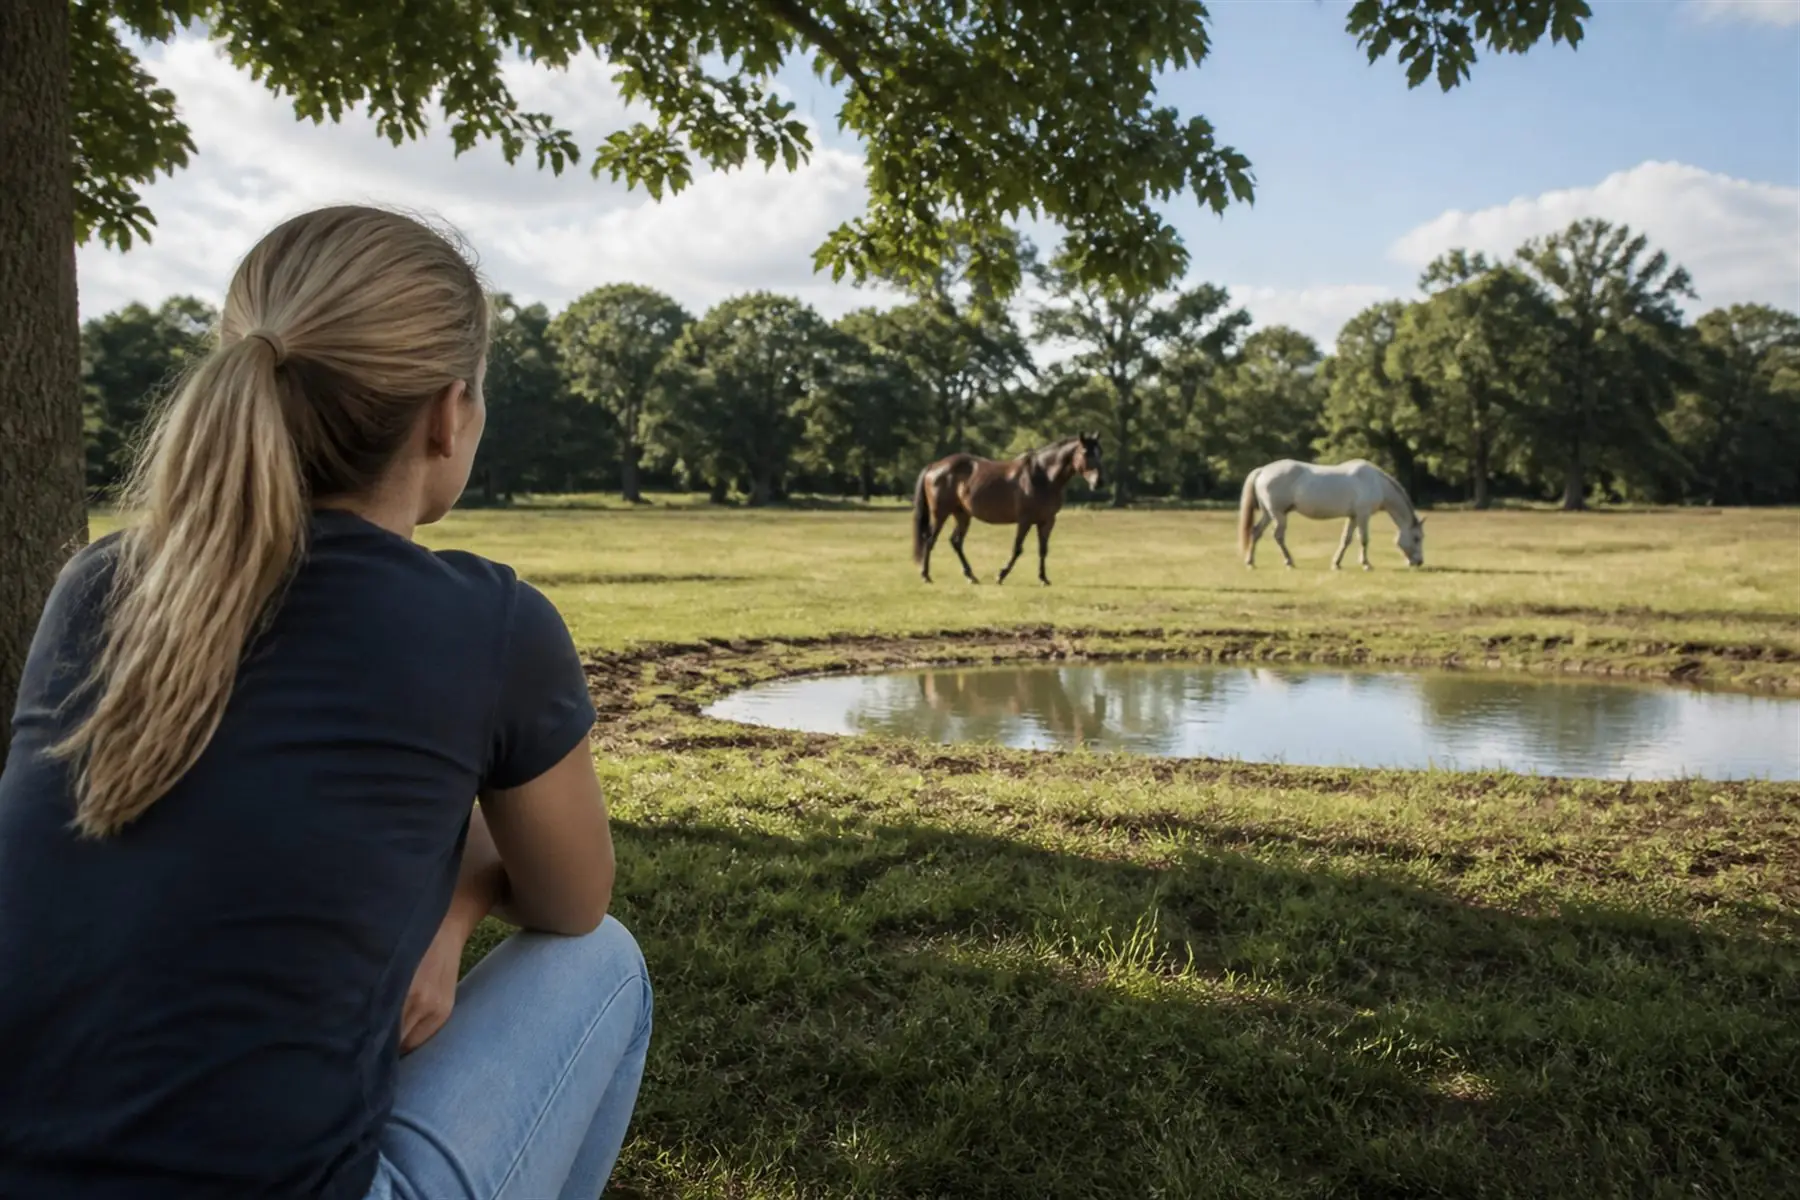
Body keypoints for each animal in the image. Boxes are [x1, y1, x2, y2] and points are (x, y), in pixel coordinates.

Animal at [912, 434, 1103, 585]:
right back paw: (926, 576)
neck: (1042, 476)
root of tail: (934, 466)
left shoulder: (1047, 521)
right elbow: (1017, 548)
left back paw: (971, 576)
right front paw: (1001, 575)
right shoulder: (1025, 520)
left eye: (1100, 452)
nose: (1099, 482)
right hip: (940, 514)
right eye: (1085, 452)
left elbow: (1043, 549)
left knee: (956, 542)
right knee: (930, 540)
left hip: (962, 514)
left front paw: (1043, 578)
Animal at [1237, 459, 1425, 570]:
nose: (1419, 562)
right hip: (1278, 514)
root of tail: (1262, 470)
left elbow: (1346, 539)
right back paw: (1289, 561)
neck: (1376, 482)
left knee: (1256, 532)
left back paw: (1250, 562)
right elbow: (1364, 539)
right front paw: (1366, 564)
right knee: (1278, 536)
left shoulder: (1353, 516)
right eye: (1417, 538)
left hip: (1268, 514)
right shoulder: (1363, 515)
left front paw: (1337, 563)